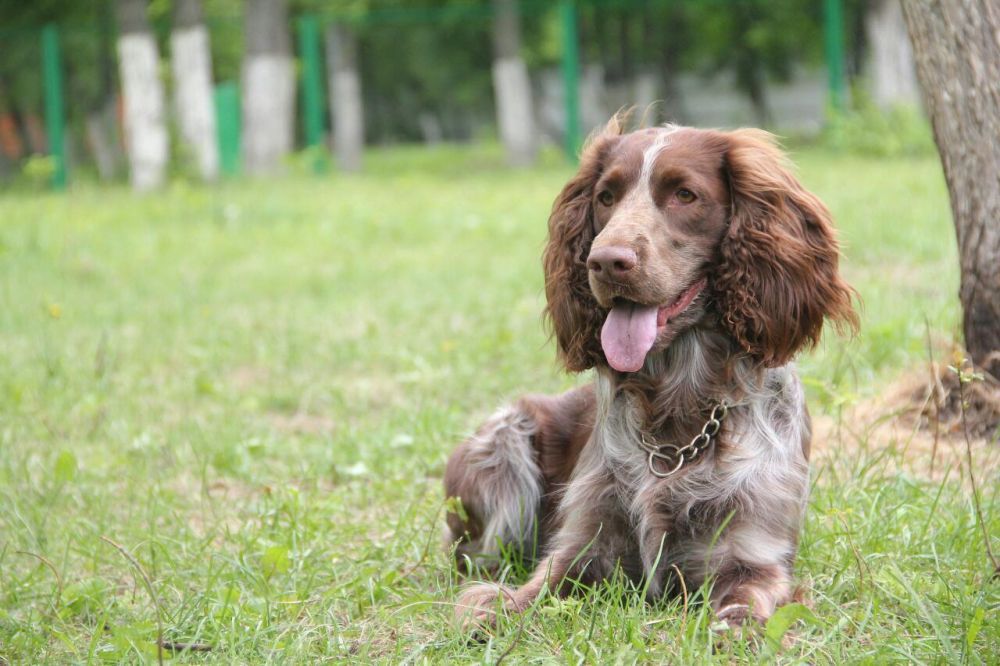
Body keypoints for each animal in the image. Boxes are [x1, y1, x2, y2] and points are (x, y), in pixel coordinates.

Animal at [442, 116, 856, 632]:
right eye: (605, 196)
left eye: (685, 195)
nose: (605, 261)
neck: (679, 415)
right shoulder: (585, 542)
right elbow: (536, 588)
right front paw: (491, 611)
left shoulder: (754, 553)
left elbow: (743, 604)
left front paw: (731, 632)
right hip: (502, 438)